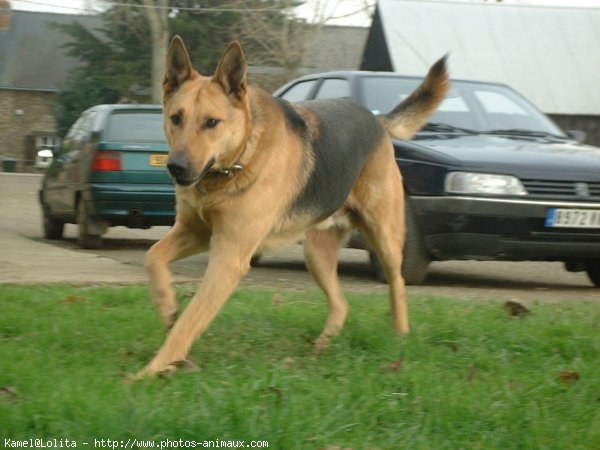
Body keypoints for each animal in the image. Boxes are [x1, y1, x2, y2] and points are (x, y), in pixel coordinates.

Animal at [136, 37, 446, 378]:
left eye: (211, 123)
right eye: (176, 118)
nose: (175, 167)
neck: (240, 158)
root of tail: (377, 121)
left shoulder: (228, 256)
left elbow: (191, 320)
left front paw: (151, 370)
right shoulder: (196, 232)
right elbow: (152, 257)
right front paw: (167, 308)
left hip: (385, 238)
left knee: (397, 283)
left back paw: (400, 336)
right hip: (316, 254)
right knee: (341, 304)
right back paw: (322, 348)